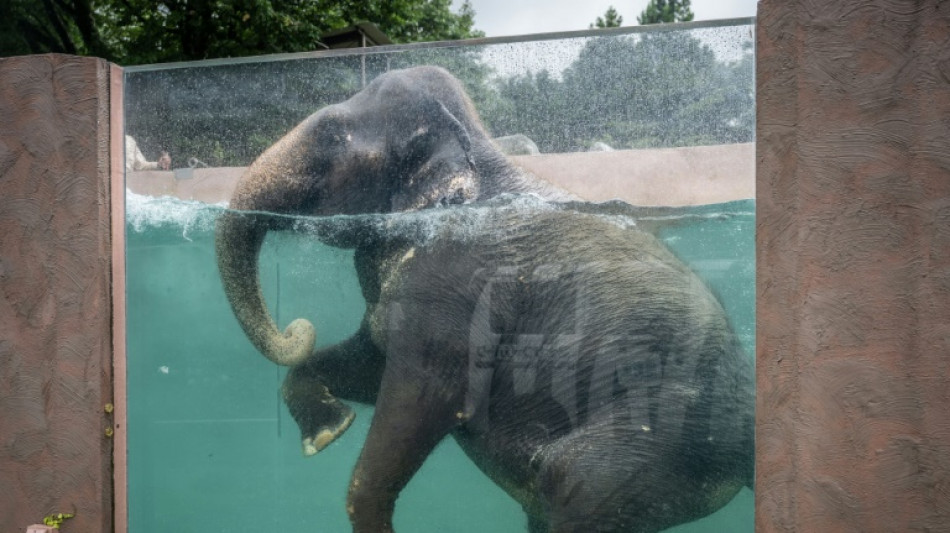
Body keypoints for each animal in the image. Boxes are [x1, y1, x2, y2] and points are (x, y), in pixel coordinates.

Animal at [212, 66, 756, 532]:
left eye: (329, 133)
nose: (298, 327)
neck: (477, 145)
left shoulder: (453, 286)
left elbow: (425, 394)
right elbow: (368, 364)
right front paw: (328, 433)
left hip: (655, 442)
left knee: (570, 485)